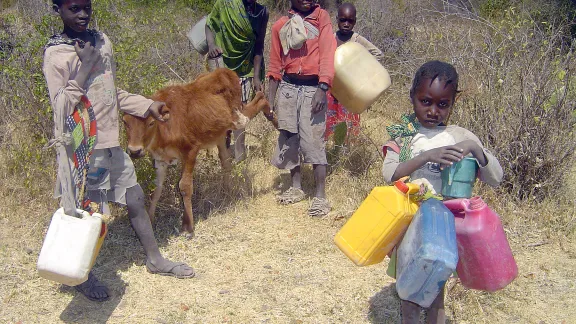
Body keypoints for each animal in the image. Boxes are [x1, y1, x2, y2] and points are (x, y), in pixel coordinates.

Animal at [123, 69, 270, 235]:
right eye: (125, 122)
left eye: (151, 123)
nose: (134, 151)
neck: (165, 127)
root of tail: (224, 71)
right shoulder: (160, 160)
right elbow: (157, 189)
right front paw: (150, 218)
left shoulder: (190, 151)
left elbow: (185, 187)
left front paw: (188, 226)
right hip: (220, 133)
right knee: (226, 162)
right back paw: (226, 191)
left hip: (239, 117)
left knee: (261, 98)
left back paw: (272, 115)